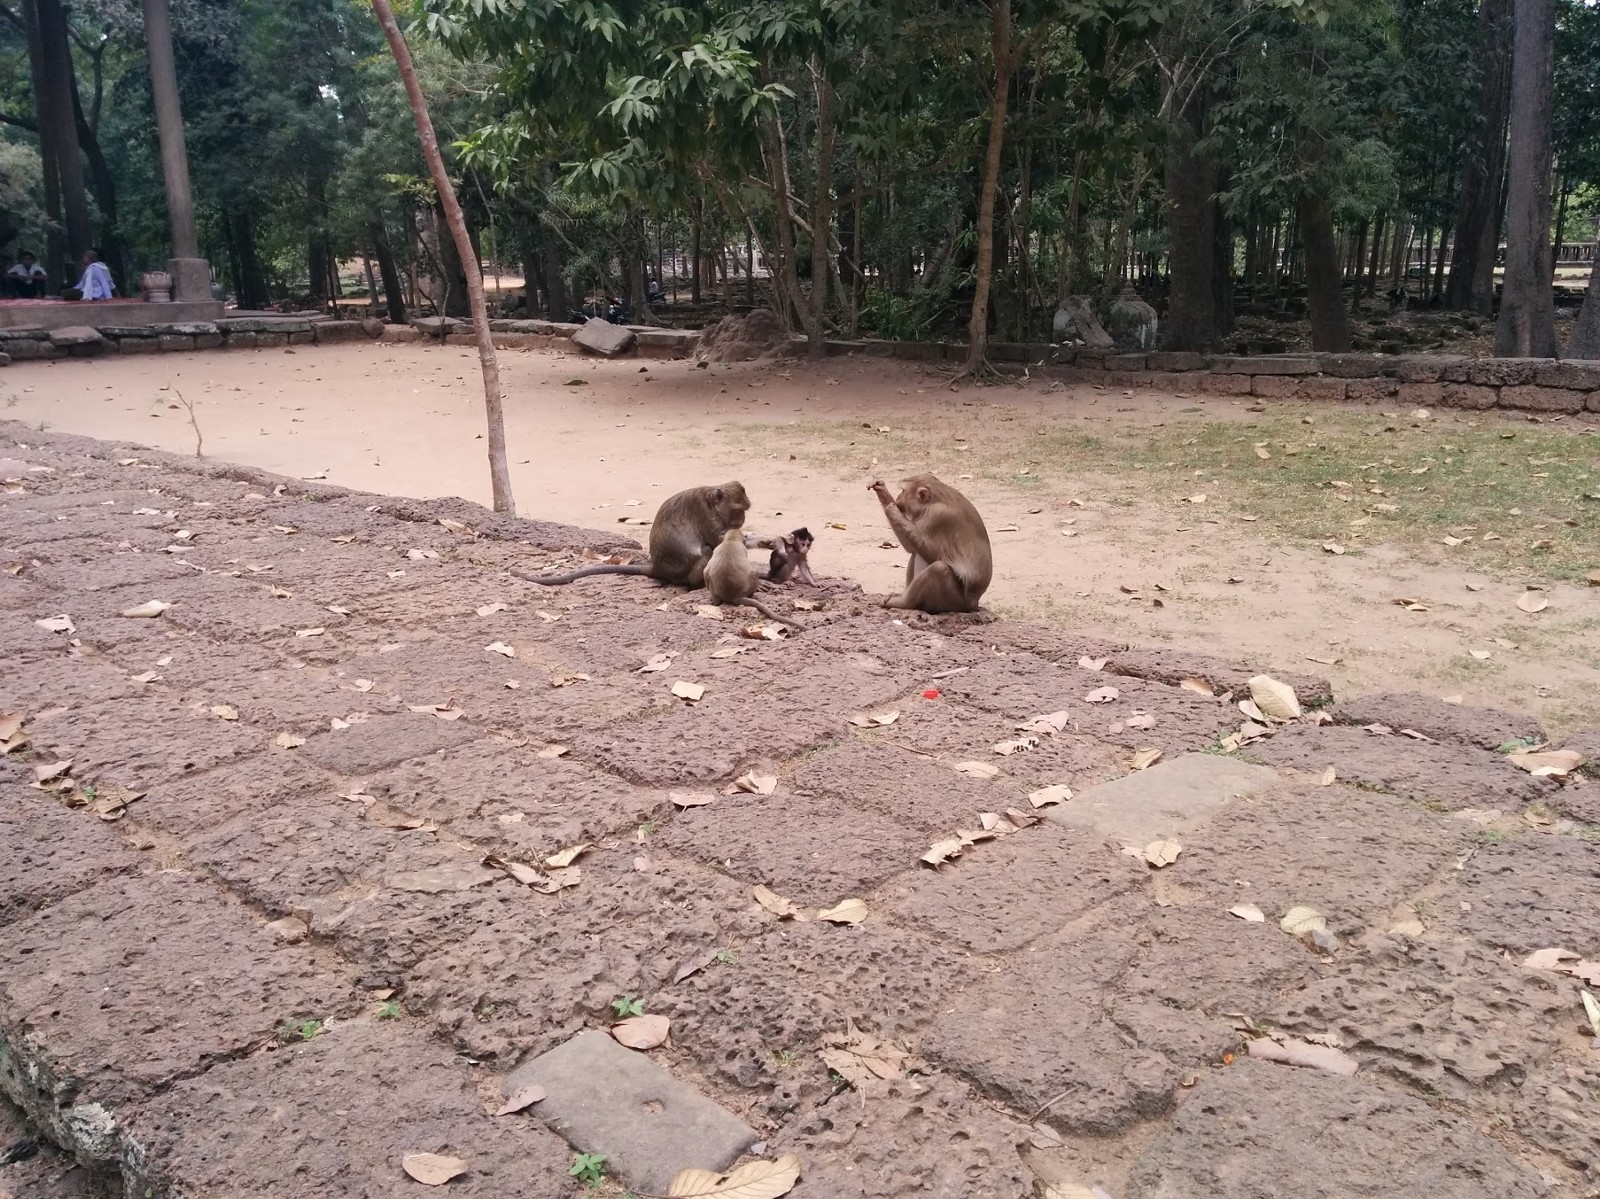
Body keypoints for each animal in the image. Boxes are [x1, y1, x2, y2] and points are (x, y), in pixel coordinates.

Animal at [521, 480, 752, 585]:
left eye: (744, 510)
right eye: (738, 510)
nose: (742, 520)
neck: (711, 502)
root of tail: (657, 569)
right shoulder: (705, 515)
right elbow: (716, 541)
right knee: (704, 551)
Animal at [876, 473, 985, 611]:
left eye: (903, 491)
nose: (898, 497)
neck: (932, 501)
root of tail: (973, 603)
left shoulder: (937, 517)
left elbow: (931, 554)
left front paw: (892, 509)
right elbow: (911, 549)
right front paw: (883, 493)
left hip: (953, 601)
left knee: (938, 568)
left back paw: (905, 602)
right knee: (916, 553)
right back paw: (902, 595)